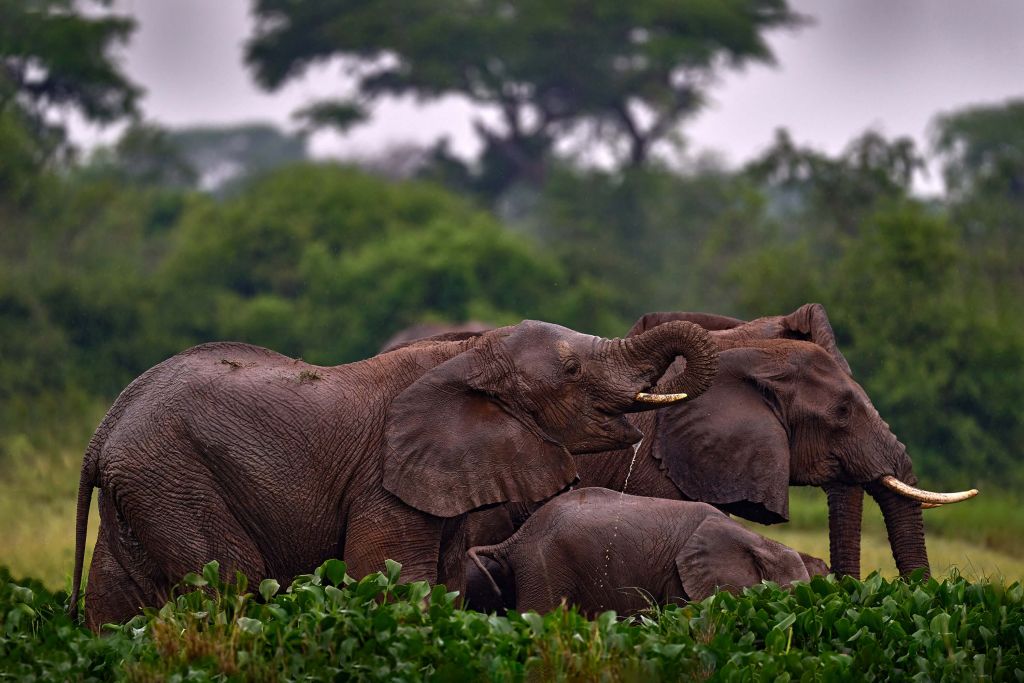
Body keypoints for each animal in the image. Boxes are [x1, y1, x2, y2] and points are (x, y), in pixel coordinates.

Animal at [70, 319, 720, 630]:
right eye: (570, 370)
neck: (469, 352)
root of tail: (103, 429)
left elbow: (447, 582)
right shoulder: (382, 479)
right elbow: (389, 579)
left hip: (143, 490)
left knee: (117, 603)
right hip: (175, 480)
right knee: (230, 583)